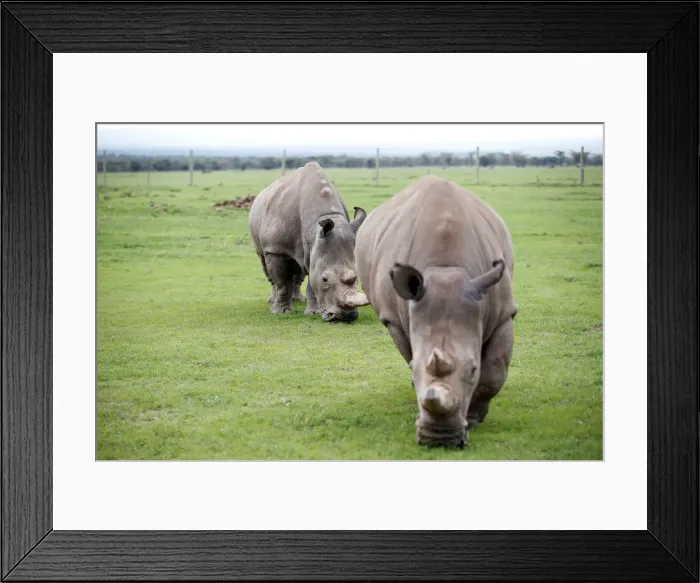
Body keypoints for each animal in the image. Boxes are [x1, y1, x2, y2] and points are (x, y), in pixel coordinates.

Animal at [249, 162, 369, 322]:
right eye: (325, 279)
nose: (346, 317)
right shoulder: (276, 249)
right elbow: (282, 282)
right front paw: (281, 312)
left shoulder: (316, 247)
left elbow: (312, 280)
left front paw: (314, 313)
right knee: (265, 263)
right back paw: (273, 301)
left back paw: (299, 300)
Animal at [354, 176, 517, 447]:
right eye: (414, 369)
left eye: (473, 370)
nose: (440, 440)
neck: (446, 269)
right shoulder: (395, 319)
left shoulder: (505, 313)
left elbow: (494, 372)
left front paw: (473, 418)